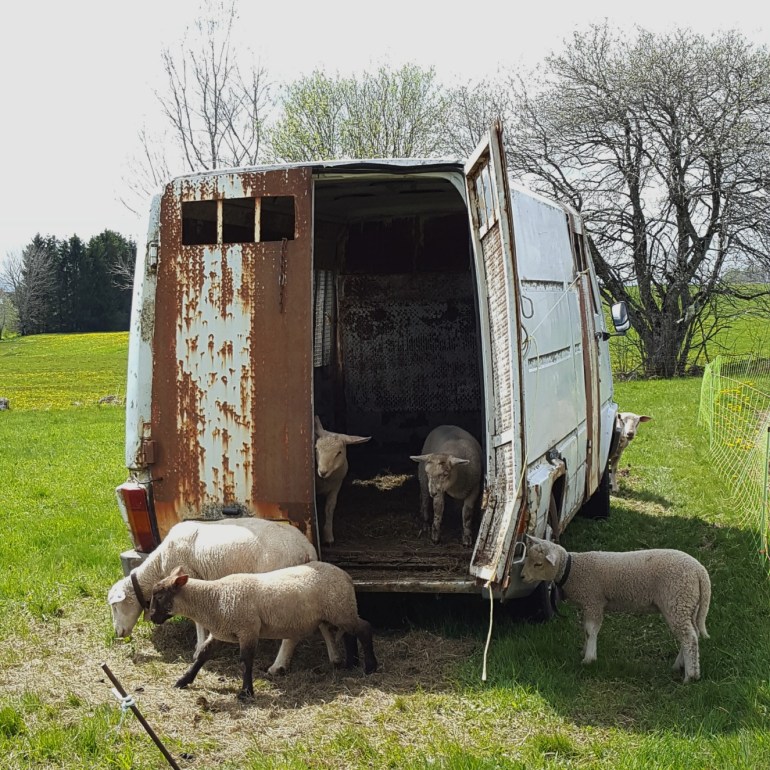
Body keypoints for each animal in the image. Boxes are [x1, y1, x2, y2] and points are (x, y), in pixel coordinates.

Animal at [107, 517, 317, 660]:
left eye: (115, 606)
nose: (117, 634)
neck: (158, 564)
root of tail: (306, 548)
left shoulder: (188, 578)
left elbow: (197, 620)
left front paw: (199, 647)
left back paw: (278, 664)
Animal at [148, 562, 378, 698]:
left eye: (159, 596)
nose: (151, 617)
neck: (214, 599)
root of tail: (346, 576)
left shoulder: (248, 630)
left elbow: (246, 660)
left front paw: (246, 692)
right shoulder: (221, 632)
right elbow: (203, 655)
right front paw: (183, 680)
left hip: (340, 608)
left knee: (365, 629)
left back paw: (370, 667)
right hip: (340, 611)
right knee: (350, 634)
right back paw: (350, 664)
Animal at [314, 415, 371, 545]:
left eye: (339, 452)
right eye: (316, 448)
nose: (322, 471)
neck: (326, 480)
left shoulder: (336, 486)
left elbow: (329, 508)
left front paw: (328, 536)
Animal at [520, 534, 711, 682]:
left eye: (538, 564)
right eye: (527, 558)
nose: (521, 576)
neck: (571, 570)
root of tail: (700, 571)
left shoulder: (594, 601)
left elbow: (590, 630)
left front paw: (589, 658)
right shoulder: (589, 604)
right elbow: (585, 630)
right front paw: (584, 651)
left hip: (677, 600)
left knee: (689, 638)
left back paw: (690, 676)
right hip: (687, 604)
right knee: (691, 634)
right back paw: (680, 666)